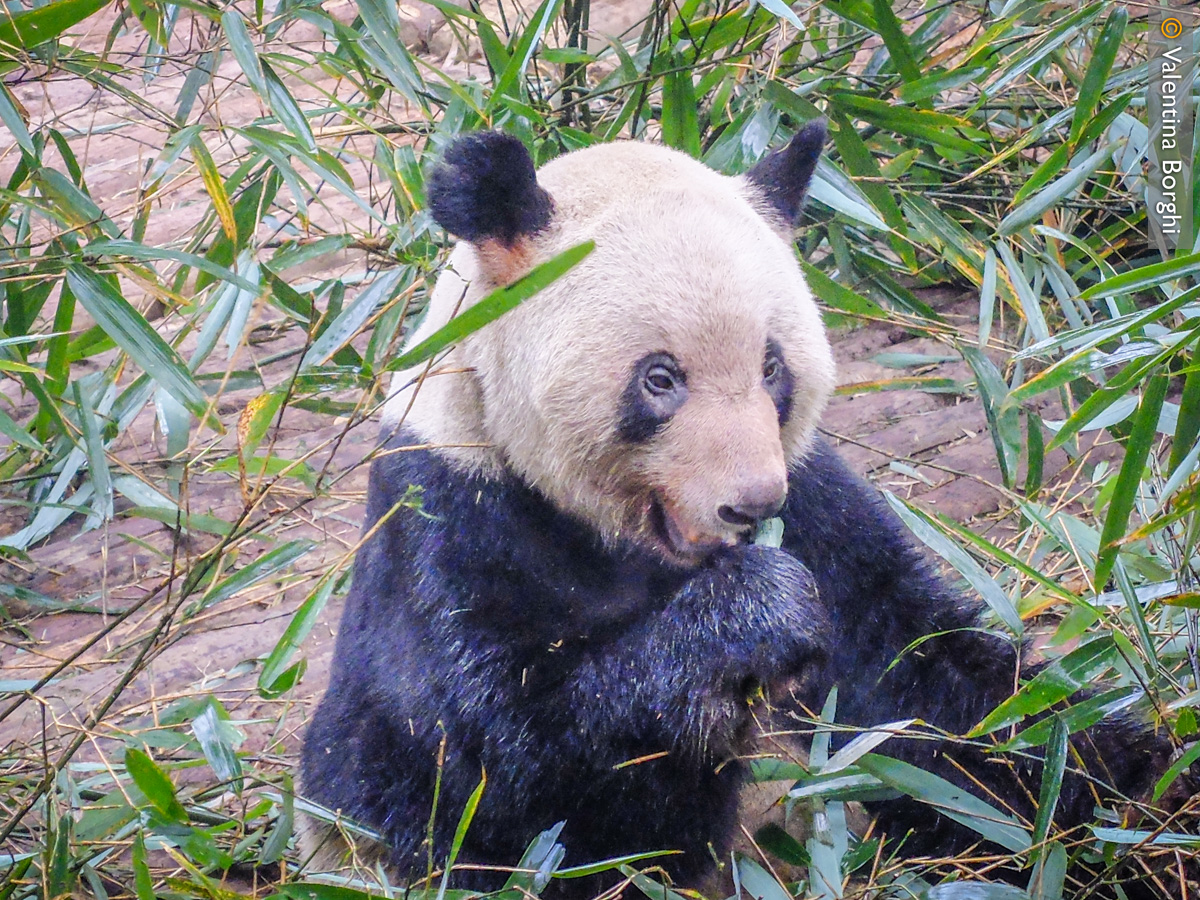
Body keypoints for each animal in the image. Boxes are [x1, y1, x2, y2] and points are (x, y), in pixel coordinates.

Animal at [299, 127, 1178, 897]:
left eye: (771, 367)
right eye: (659, 378)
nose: (748, 503)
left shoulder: (819, 506)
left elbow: (943, 700)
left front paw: (1151, 797)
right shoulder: (452, 522)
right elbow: (498, 788)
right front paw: (753, 617)